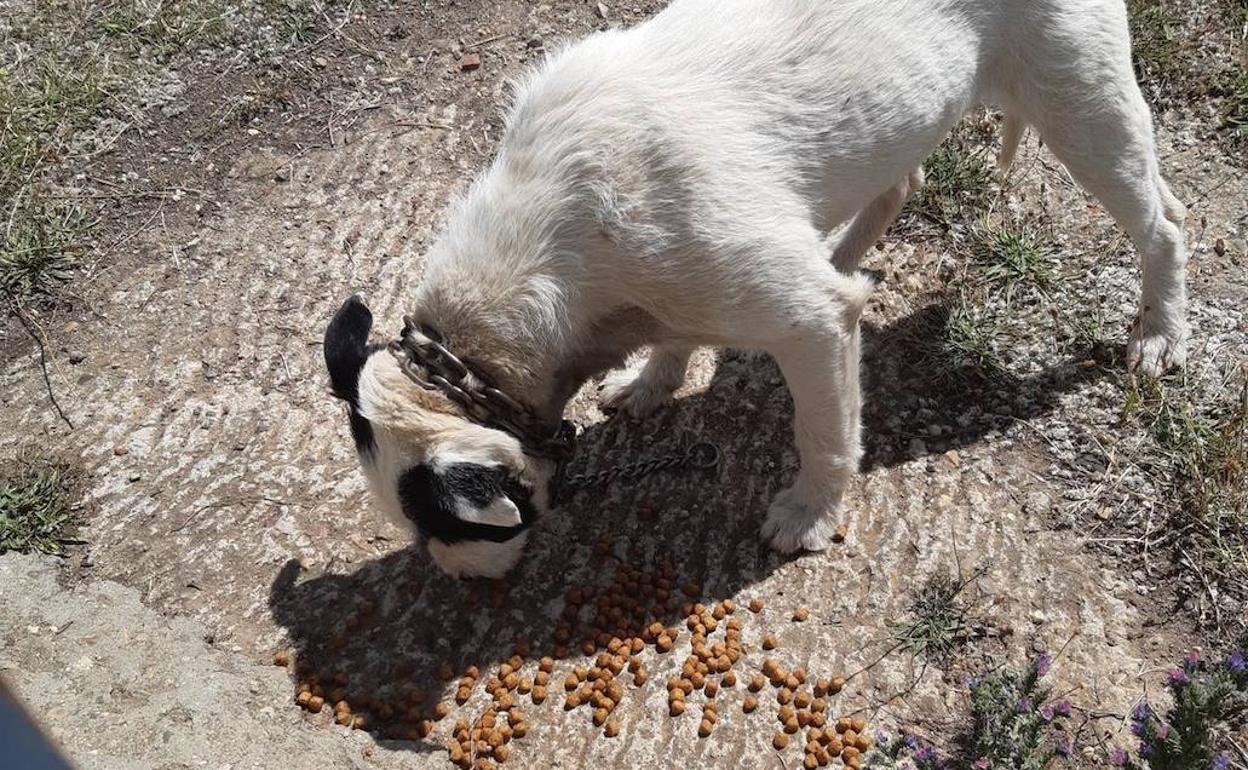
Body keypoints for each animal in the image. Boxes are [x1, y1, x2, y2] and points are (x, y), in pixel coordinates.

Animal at [321, 0, 1188, 576]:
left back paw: (1159, 331)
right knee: (898, 184)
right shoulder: (676, 288)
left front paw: (810, 512)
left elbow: (825, 433)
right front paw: (653, 382)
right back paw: (844, 251)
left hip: (1083, 109)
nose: (461, 586)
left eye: (471, 531)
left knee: (1164, 222)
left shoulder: (810, 323)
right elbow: (674, 338)